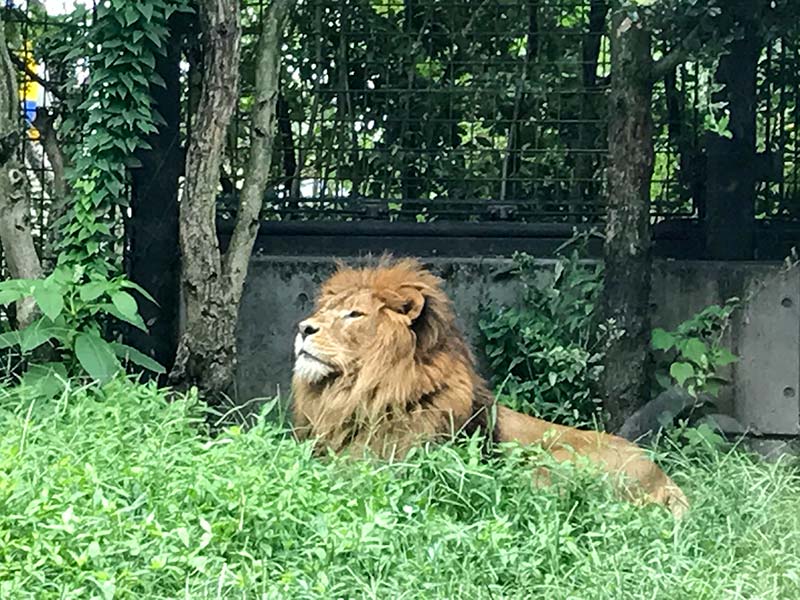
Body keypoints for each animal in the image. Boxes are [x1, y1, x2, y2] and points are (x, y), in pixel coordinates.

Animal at [290, 255, 692, 516]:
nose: (303, 328)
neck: (358, 395)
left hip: (549, 464)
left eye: (355, 314)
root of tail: (662, 476)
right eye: (325, 311)